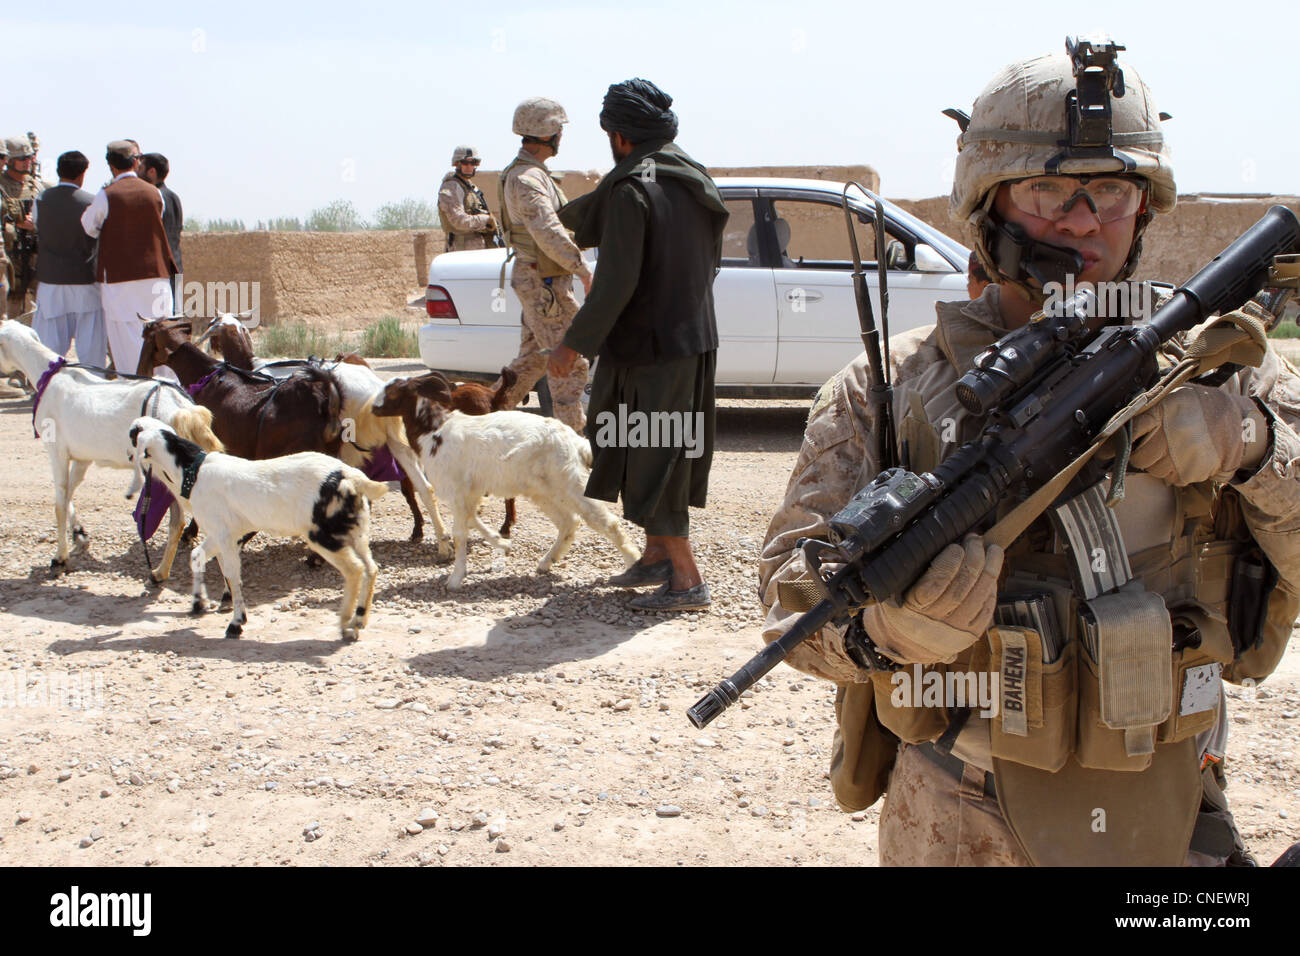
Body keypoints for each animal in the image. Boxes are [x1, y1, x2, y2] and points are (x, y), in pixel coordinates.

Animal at [0, 319, 223, 582]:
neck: (51, 376)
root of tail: (183, 410)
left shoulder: (57, 451)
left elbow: (59, 502)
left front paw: (59, 558)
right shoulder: (82, 457)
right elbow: (69, 494)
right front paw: (80, 535)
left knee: (183, 520)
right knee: (179, 522)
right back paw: (161, 572)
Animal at [129, 418, 387, 642]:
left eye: (132, 434)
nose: (129, 455)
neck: (192, 472)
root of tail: (350, 478)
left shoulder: (223, 534)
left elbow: (232, 572)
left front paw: (236, 623)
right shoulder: (222, 533)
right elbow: (199, 557)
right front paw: (199, 602)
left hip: (323, 536)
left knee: (355, 570)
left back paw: (345, 624)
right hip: (355, 531)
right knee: (371, 567)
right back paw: (360, 618)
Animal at [369, 369, 637, 587]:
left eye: (393, 392)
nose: (372, 408)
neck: (434, 432)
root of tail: (577, 443)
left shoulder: (458, 489)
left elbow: (461, 531)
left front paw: (455, 579)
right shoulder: (470, 491)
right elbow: (471, 520)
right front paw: (502, 545)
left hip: (570, 482)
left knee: (605, 521)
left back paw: (631, 563)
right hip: (543, 489)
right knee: (569, 522)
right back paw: (547, 562)